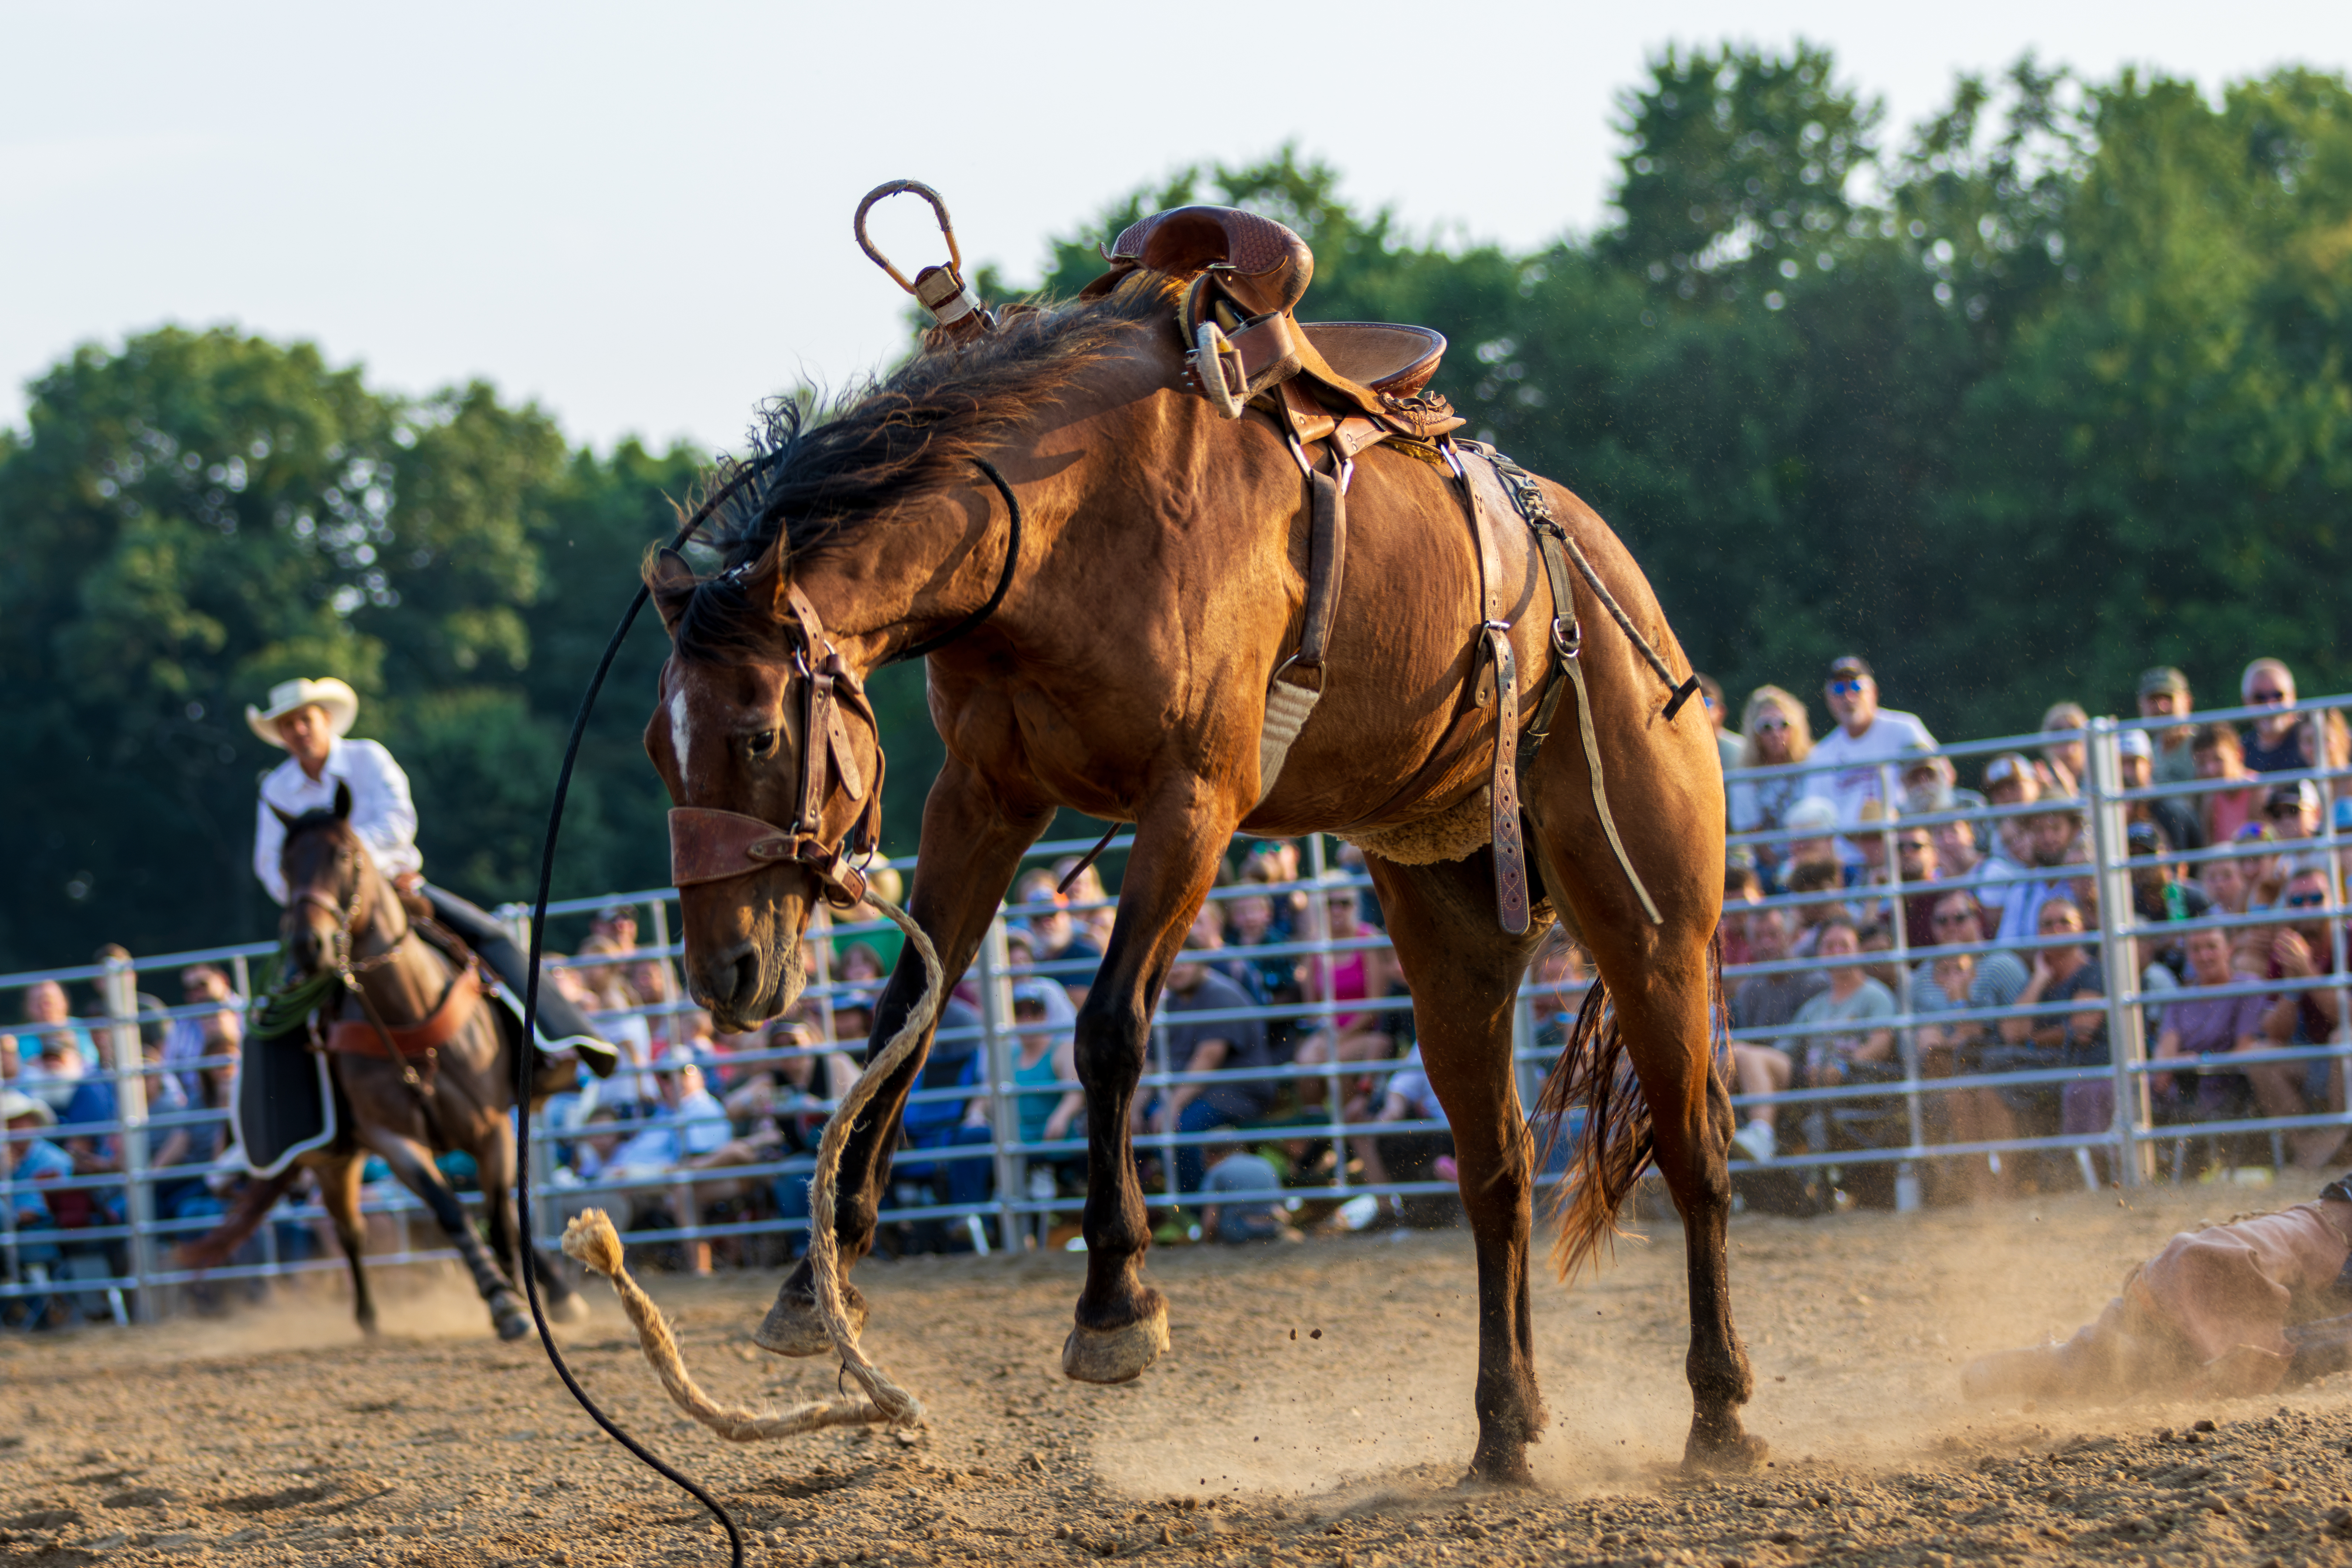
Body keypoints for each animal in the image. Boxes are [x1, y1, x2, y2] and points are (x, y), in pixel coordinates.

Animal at [181, 787, 589, 1339]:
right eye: (285, 867)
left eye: (344, 855)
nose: (309, 944)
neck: (406, 1012)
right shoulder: (392, 1138)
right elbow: (450, 1211)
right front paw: (503, 1303)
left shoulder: (491, 1128)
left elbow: (501, 1218)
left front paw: (524, 1294)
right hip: (334, 1162)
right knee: (350, 1230)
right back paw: (369, 1317)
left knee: (500, 1210)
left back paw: (560, 1295)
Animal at [642, 268, 1750, 1481]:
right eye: (658, 749)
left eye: (755, 734)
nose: (722, 972)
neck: (1062, 515)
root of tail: (1605, 584)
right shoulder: (983, 795)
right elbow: (904, 1017)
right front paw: (816, 1282)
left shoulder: (1196, 800)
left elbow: (1109, 1028)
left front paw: (1115, 1300)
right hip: (1455, 935)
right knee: (1495, 1168)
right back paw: (1503, 1431)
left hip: (1651, 922)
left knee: (1692, 1145)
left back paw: (1719, 1415)